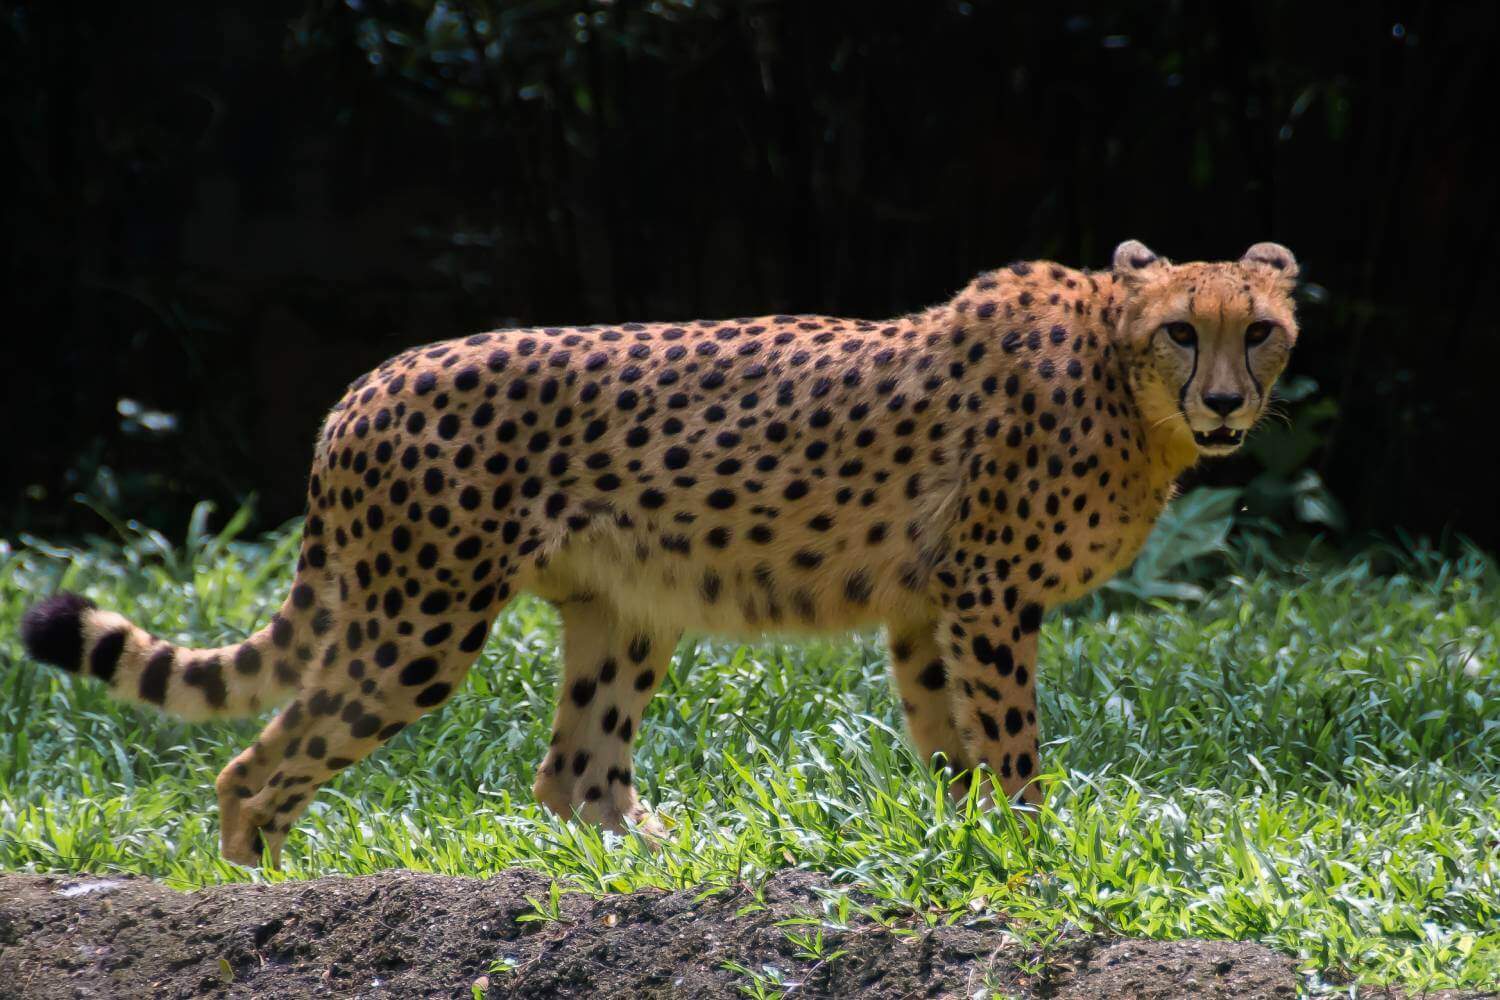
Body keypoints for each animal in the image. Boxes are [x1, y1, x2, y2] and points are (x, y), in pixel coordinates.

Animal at [17, 238, 1296, 863]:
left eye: (1262, 331)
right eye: (1182, 330)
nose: (1229, 403)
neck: (1122, 381)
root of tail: (367, 382)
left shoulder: (927, 603)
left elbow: (948, 743)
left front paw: (963, 838)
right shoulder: (983, 594)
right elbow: (1013, 748)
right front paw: (1029, 846)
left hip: (627, 609)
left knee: (573, 771)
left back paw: (659, 860)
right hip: (419, 621)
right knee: (259, 760)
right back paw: (258, 882)